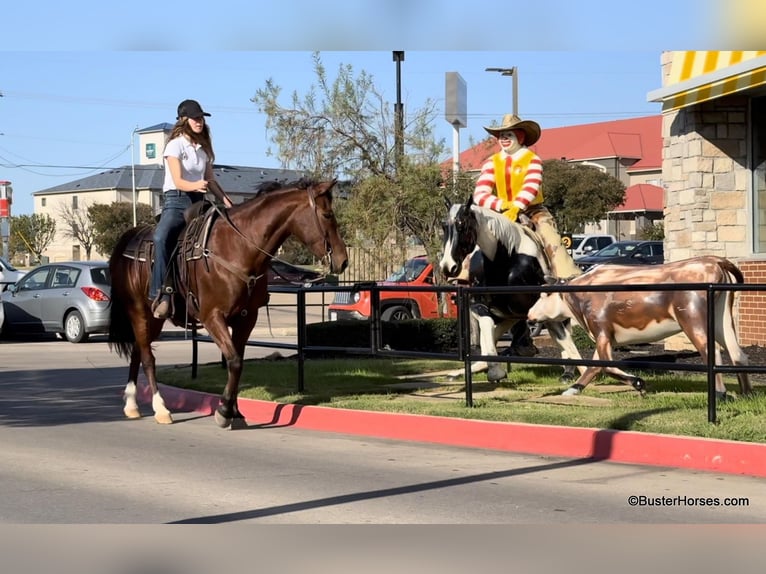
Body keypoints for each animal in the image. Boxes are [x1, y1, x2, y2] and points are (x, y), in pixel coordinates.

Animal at [440, 196, 584, 384]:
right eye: (444, 226)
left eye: (462, 224)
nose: (447, 266)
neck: (503, 260)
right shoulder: (480, 306)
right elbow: (487, 326)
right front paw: (496, 371)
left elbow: (566, 341)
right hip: (508, 316)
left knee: (566, 336)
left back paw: (568, 372)